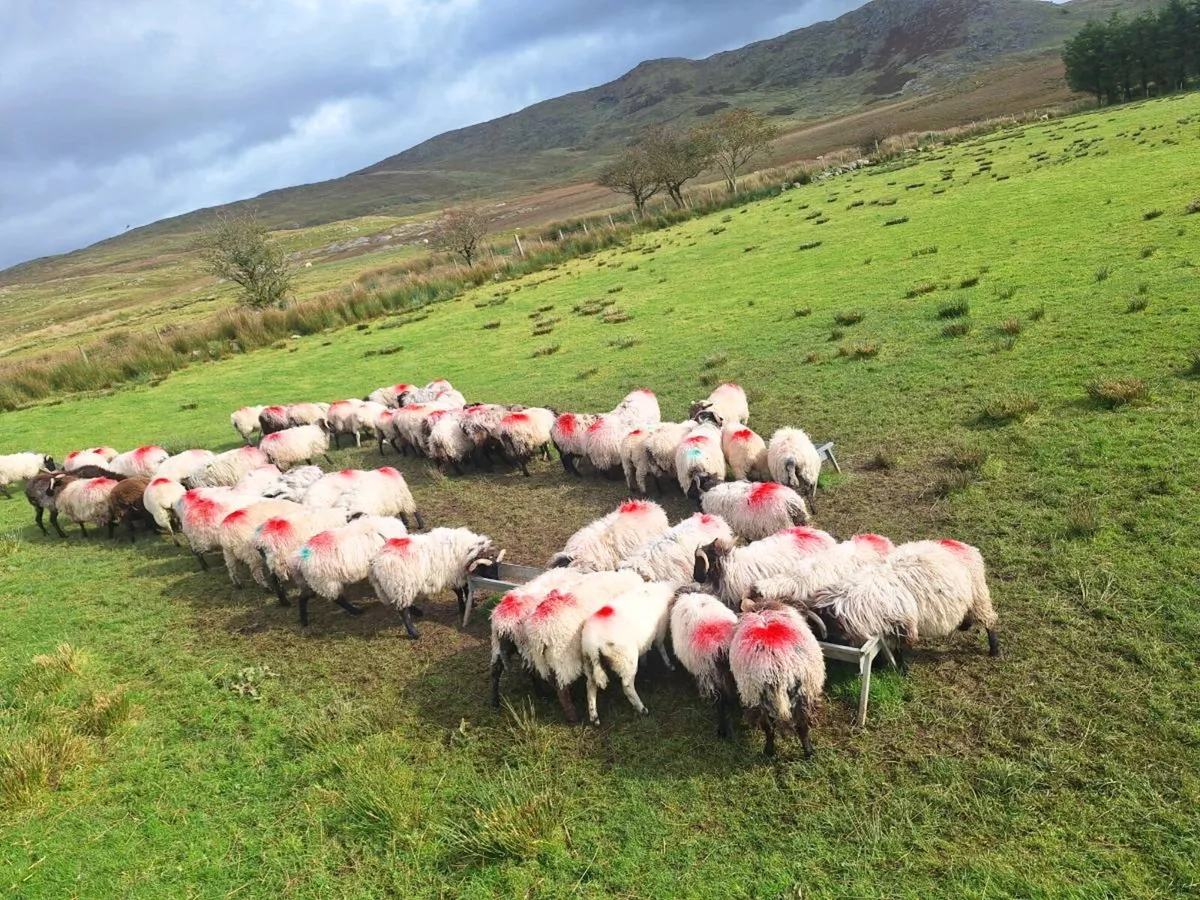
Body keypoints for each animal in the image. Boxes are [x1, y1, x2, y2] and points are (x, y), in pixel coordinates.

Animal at [368, 528, 501, 638]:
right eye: (489, 570)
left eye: (497, 567)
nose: (498, 581)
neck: (467, 551)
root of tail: (376, 562)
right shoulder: (452, 576)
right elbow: (459, 591)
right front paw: (463, 607)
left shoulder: (461, 575)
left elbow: (466, 589)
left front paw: (471, 603)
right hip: (400, 584)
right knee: (402, 610)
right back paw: (414, 633)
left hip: (399, 587)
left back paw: (417, 612)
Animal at [490, 568, 587, 708]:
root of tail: (505, 623)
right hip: (528, 647)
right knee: (531, 671)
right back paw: (542, 693)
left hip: (497, 646)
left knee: (495, 671)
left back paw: (494, 701)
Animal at [524, 569, 645, 722]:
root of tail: (538, 634)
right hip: (563, 657)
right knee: (561, 687)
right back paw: (573, 716)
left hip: (544, 659)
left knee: (550, 679)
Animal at [581, 580, 677, 725]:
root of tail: (594, 644)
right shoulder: (660, 632)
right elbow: (661, 647)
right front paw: (669, 665)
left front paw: (645, 661)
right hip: (625, 660)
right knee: (627, 686)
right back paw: (642, 709)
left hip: (588, 662)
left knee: (590, 685)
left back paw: (594, 717)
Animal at [730, 599, 827, 757]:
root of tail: (777, 671)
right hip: (801, 693)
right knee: (800, 725)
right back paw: (807, 752)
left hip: (759, 696)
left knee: (770, 727)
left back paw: (770, 751)